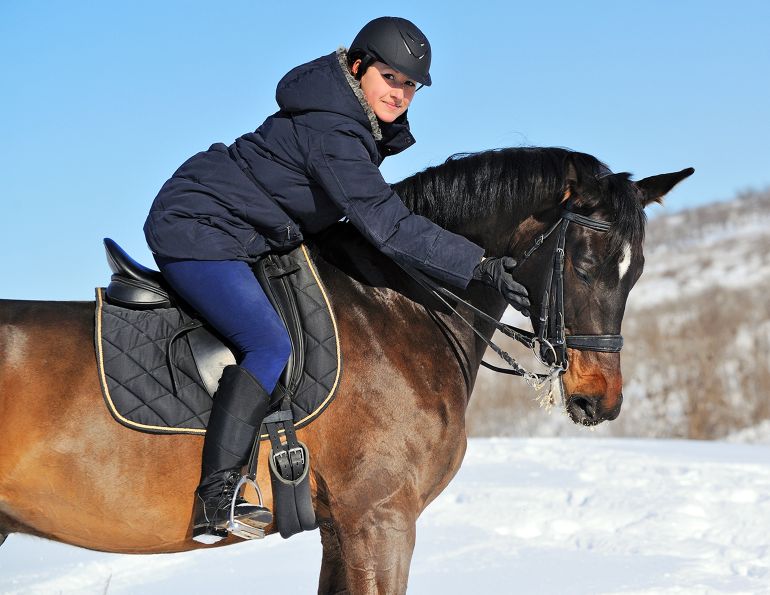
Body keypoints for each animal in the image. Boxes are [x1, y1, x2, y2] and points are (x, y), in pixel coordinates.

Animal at [0, 147, 692, 593]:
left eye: (636, 269)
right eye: (583, 264)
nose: (599, 400)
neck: (393, 304)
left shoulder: (343, 528)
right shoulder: (378, 518)